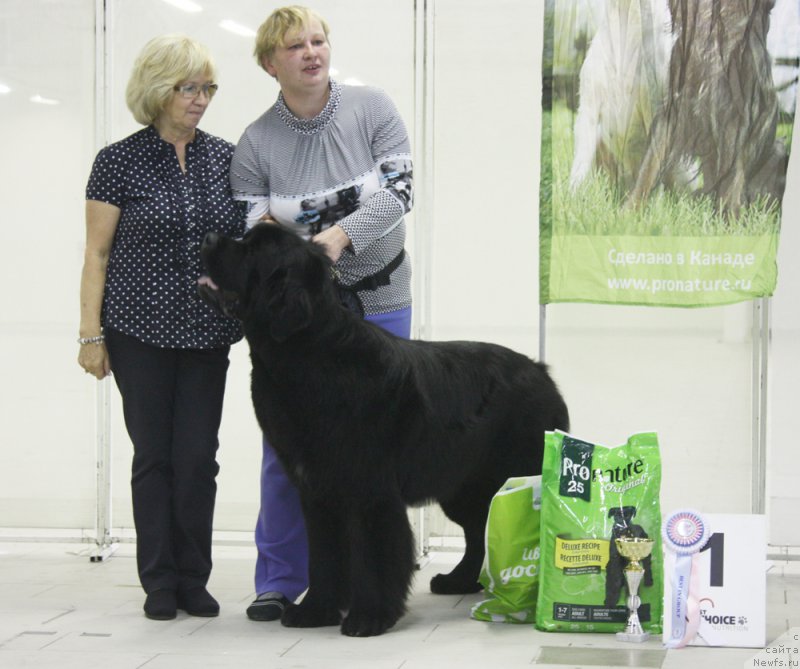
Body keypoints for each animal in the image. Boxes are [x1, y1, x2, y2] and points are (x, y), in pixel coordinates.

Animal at [199, 224, 568, 636]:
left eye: (252, 251)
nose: (208, 239)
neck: (308, 355)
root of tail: (541, 372)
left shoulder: (369, 491)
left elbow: (373, 558)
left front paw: (369, 618)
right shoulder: (317, 491)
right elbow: (323, 557)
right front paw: (315, 612)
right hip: (463, 487)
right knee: (477, 531)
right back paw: (458, 581)